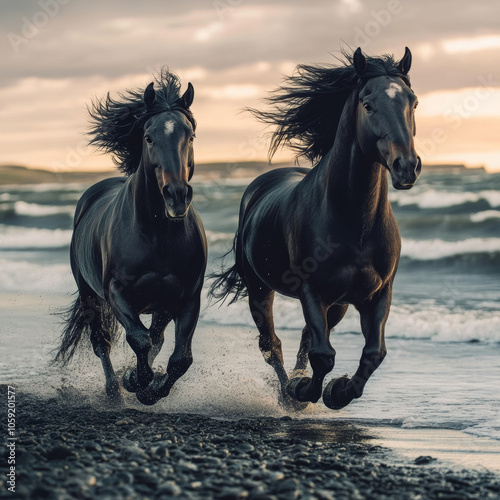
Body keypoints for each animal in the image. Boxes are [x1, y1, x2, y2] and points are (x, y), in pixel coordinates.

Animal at [56, 71, 207, 406]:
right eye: (149, 137)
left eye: (190, 136)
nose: (177, 195)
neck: (157, 235)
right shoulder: (117, 293)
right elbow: (138, 339)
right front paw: (134, 380)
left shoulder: (187, 298)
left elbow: (179, 358)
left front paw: (150, 389)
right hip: (88, 295)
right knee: (102, 343)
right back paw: (114, 391)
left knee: (157, 338)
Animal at [209, 47, 420, 410]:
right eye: (368, 104)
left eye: (414, 102)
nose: (406, 166)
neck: (356, 225)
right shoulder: (312, 290)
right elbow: (323, 355)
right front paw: (302, 391)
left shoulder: (377, 294)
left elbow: (373, 353)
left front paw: (338, 391)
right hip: (259, 290)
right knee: (272, 344)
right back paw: (288, 391)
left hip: (339, 304)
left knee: (307, 339)